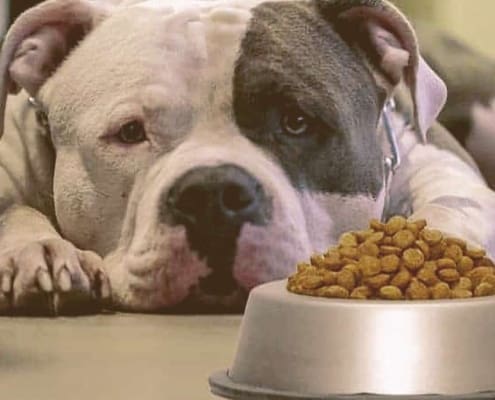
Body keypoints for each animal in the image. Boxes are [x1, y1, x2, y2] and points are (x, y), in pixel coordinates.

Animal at [0, 0, 495, 316]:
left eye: (296, 121)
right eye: (130, 133)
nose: (213, 195)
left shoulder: (438, 162)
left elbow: (452, 206)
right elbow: (14, 210)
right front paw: (38, 250)